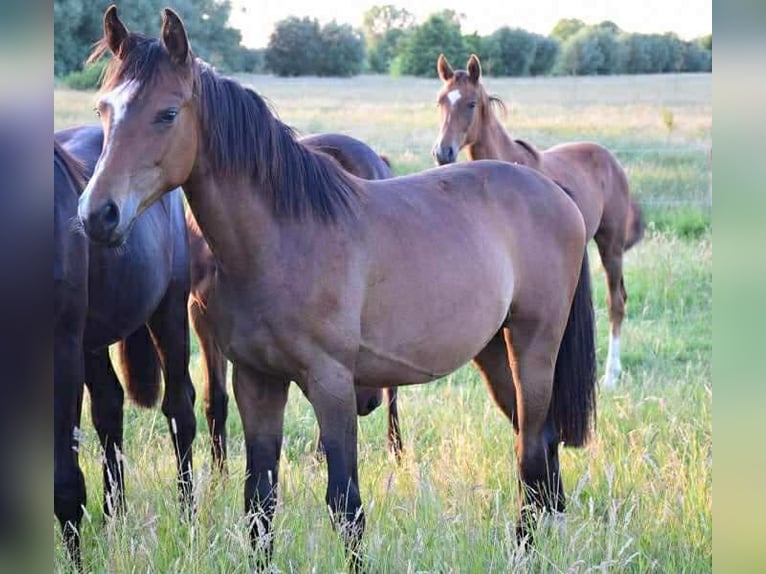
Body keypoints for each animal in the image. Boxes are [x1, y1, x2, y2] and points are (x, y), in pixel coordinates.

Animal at [54, 125, 196, 567]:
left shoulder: (62, 353)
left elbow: (65, 481)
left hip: (169, 310)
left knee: (180, 409)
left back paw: (187, 518)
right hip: (92, 343)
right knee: (109, 407)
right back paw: (113, 519)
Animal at [433, 54, 644, 389]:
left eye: (470, 103)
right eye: (441, 100)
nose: (443, 151)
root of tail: (610, 158)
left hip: (610, 245)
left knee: (617, 301)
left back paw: (611, 374)